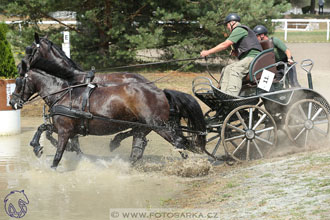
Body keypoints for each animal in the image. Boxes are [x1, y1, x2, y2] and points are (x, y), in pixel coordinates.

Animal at [10, 66, 206, 168]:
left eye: (18, 82)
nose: (12, 102)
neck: (63, 94)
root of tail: (161, 92)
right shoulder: (66, 129)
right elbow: (42, 128)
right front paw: (36, 147)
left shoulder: (65, 131)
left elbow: (58, 155)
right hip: (144, 127)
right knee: (138, 148)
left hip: (159, 125)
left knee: (178, 142)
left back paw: (191, 166)